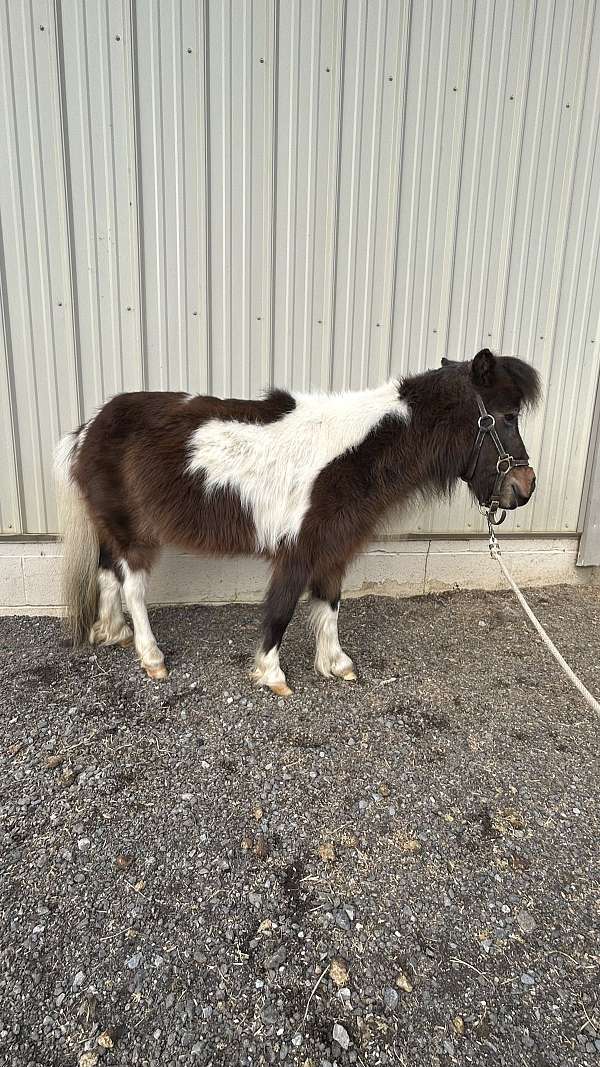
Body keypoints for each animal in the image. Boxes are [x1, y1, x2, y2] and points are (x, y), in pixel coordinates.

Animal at [56, 349, 540, 695]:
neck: (356, 452)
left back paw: (113, 633)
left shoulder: (334, 546)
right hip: (134, 531)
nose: (525, 486)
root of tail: (88, 429)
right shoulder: (300, 548)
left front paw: (337, 664)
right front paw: (272, 674)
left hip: (112, 527)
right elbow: (283, 608)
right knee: (133, 588)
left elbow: (329, 602)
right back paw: (151, 657)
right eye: (506, 416)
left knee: (108, 575)